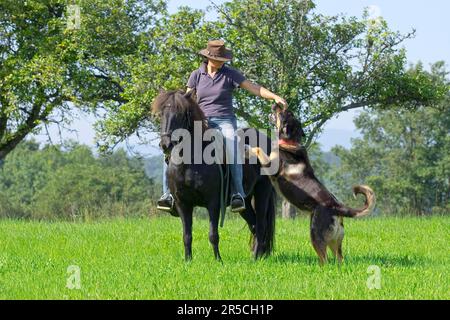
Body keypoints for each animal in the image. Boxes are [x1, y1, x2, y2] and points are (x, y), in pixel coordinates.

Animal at [246, 105, 376, 264]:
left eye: (284, 113)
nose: (276, 105)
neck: (290, 143)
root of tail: (337, 207)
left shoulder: (272, 166)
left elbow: (258, 149)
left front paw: (248, 149)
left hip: (315, 235)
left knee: (325, 259)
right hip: (335, 242)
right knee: (339, 259)